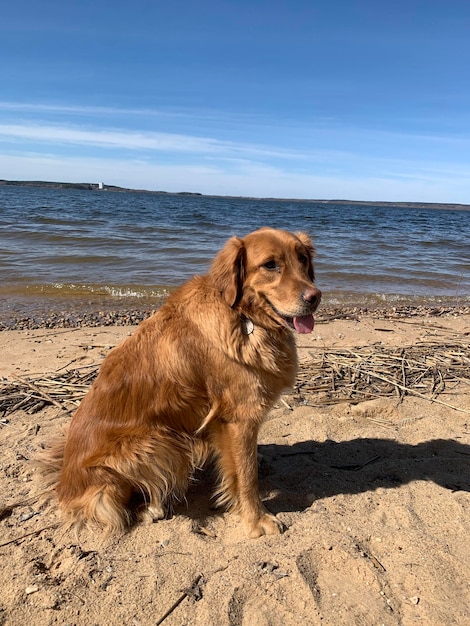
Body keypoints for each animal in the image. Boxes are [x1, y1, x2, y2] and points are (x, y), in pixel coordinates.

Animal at [43, 227, 320, 532]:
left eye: (303, 259)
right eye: (270, 265)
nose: (315, 297)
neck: (243, 316)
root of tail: (65, 486)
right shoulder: (238, 416)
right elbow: (247, 476)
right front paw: (256, 519)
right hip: (158, 442)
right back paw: (152, 508)